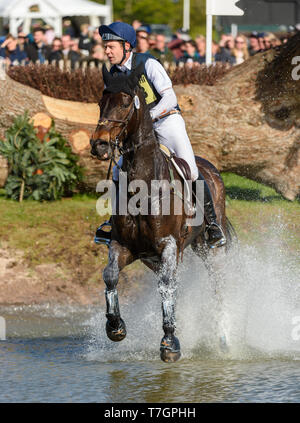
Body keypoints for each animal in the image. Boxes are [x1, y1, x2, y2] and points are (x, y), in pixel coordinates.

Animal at [90, 64, 236, 362]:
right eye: (100, 103)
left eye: (125, 103)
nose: (98, 145)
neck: (142, 186)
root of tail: (211, 169)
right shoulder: (123, 245)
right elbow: (110, 276)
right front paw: (115, 327)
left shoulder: (168, 245)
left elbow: (168, 286)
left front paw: (170, 343)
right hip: (156, 258)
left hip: (207, 247)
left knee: (216, 285)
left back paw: (224, 337)